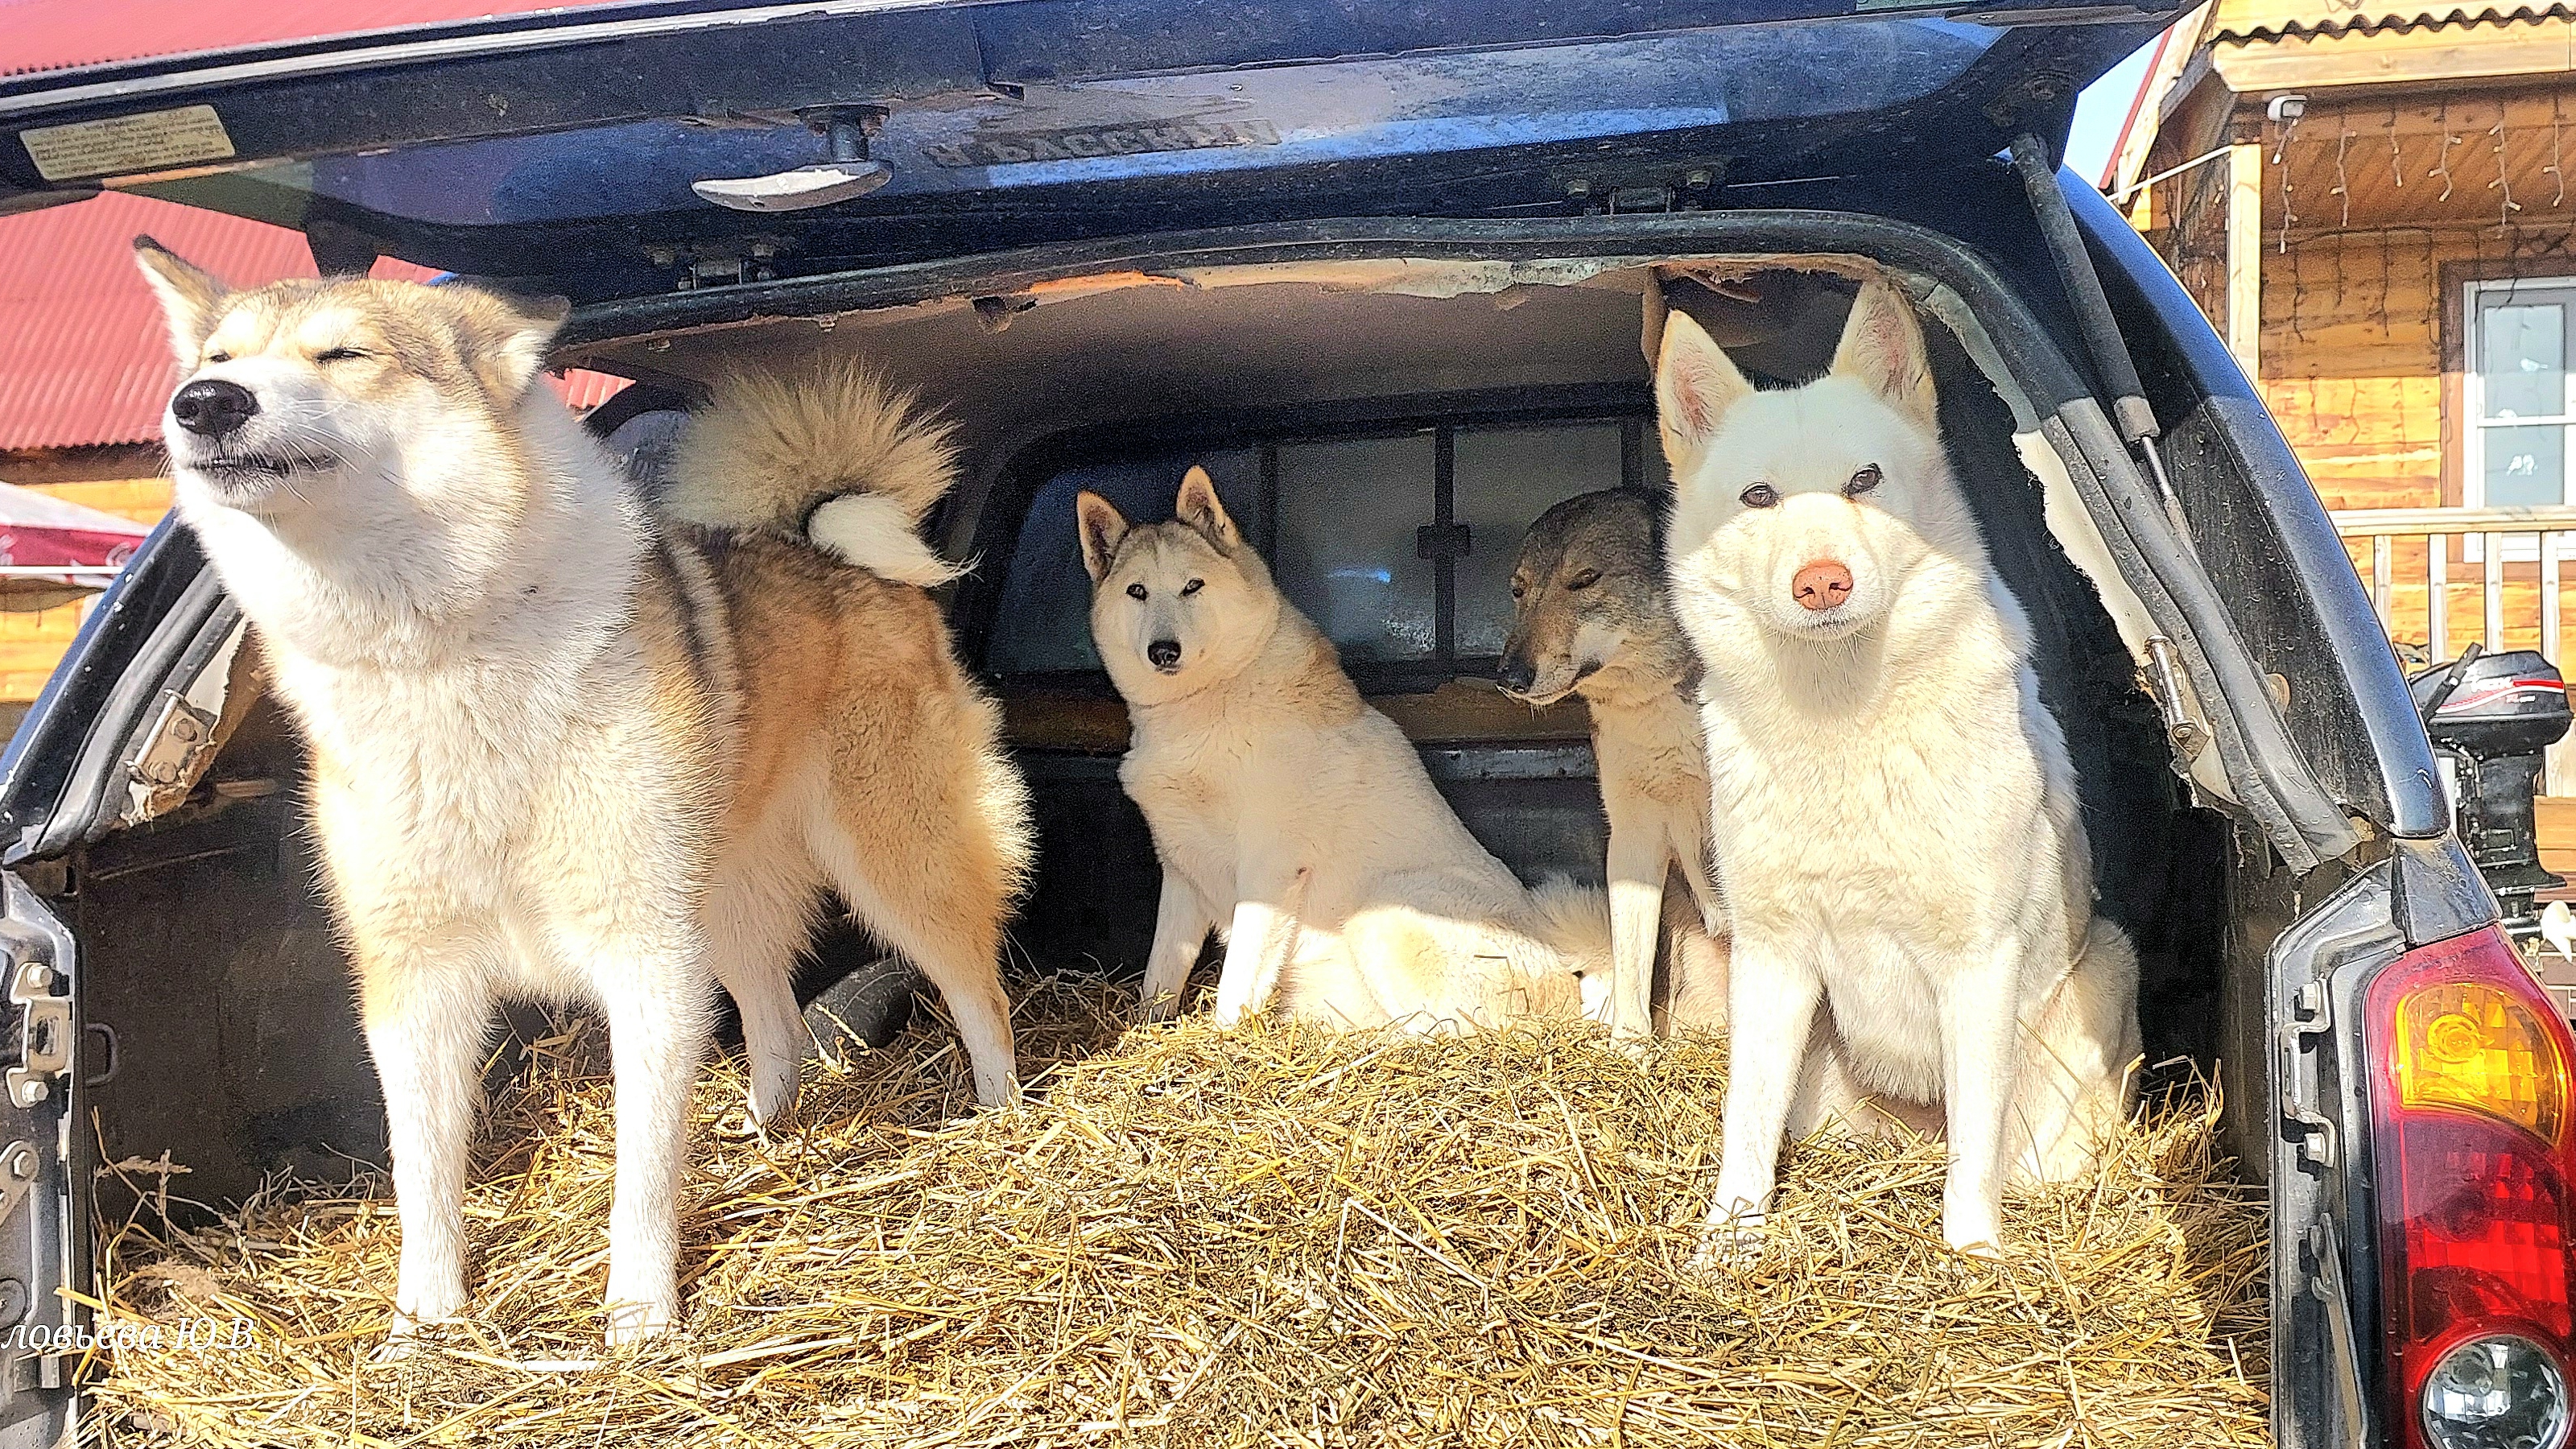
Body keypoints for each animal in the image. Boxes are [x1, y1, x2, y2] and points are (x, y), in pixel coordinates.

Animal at [133, 242, 1025, 1340]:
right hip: (723, 903)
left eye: (343, 355)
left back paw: (1002, 1119)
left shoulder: (642, 955)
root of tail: (826, 543)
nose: (204, 403)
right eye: (218, 358)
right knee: (775, 1026)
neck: (438, 658)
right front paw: (424, 1323)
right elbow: (424, 1173)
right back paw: (764, 1143)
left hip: (893, 861)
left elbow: (641, 1170)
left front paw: (639, 1314)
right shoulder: (415, 976)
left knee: (977, 988)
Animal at [1082, 469, 1607, 1021]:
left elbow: (1237, 978)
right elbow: (1162, 970)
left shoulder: (1268, 868)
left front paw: (1223, 1034)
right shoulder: (1181, 871)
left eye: (1193, 586)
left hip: (1382, 910)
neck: (1205, 705)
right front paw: (1149, 1027)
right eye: (1137, 591)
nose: (1163, 651)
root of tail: (1569, 983)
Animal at [1658, 275, 2143, 1248]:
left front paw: (1972, 1255)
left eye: (1864, 482)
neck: (1843, 718)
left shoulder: (1978, 962)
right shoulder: (1770, 957)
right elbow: (1744, 1120)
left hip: (2102, 972)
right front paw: (1727, 1244)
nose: (1821, 583)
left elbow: (1974, 1155)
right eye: (1758, 496)